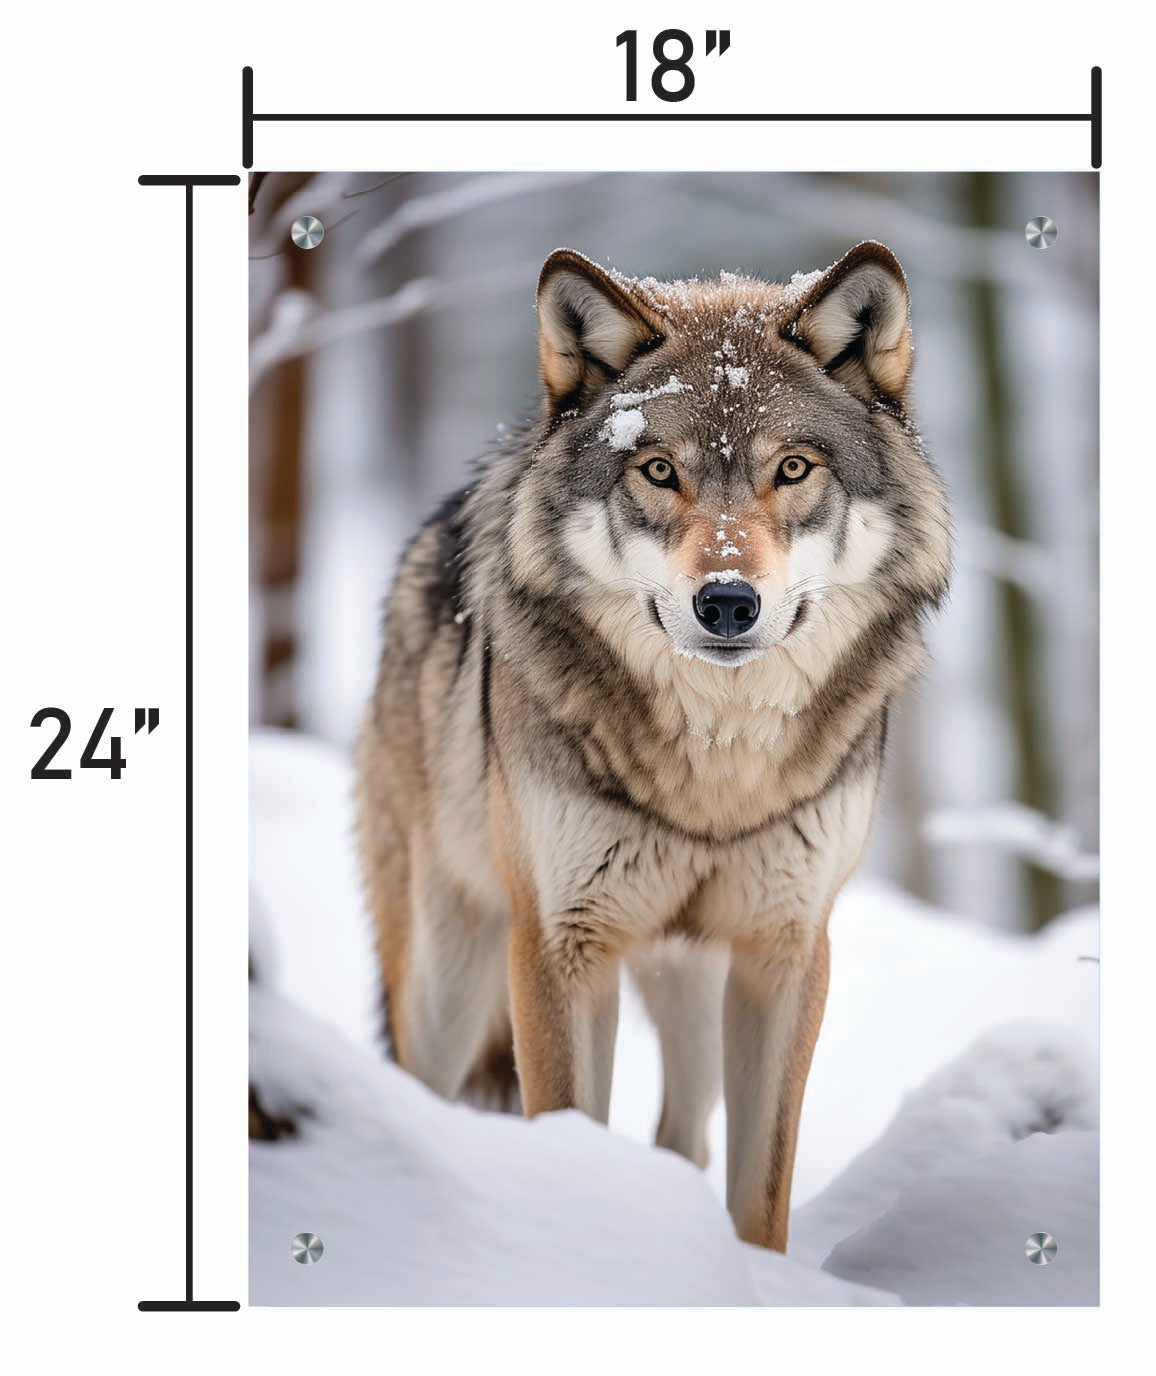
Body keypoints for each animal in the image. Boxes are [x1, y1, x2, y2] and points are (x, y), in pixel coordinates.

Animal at [356, 242, 951, 1252]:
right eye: (660, 471)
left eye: (793, 468)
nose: (727, 602)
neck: (715, 765)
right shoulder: (558, 944)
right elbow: (566, 1132)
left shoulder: (786, 950)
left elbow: (761, 1193)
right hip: (448, 981)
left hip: (692, 984)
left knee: (684, 1138)